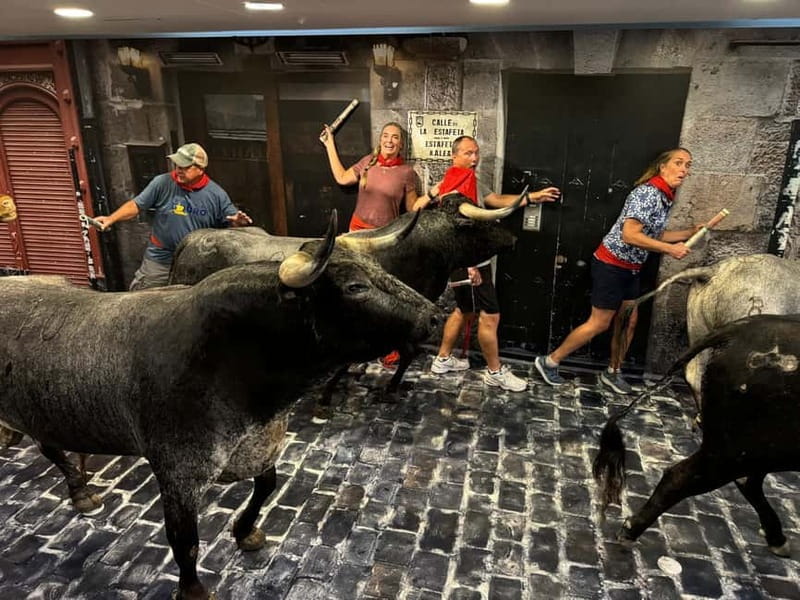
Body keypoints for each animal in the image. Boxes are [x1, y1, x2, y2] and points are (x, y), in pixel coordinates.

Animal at [0, 213, 439, 600]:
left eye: (378, 271)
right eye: (355, 287)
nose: (434, 316)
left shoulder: (257, 448)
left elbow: (266, 487)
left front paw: (245, 531)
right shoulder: (178, 470)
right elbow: (185, 540)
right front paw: (193, 589)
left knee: (50, 447)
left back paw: (79, 489)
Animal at [593, 314, 800, 557]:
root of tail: (735, 330)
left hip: (755, 451)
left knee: (747, 481)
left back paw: (778, 540)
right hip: (738, 450)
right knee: (681, 476)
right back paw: (628, 532)